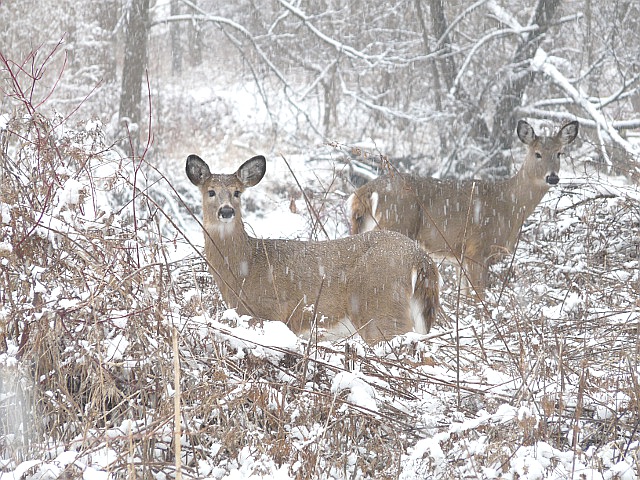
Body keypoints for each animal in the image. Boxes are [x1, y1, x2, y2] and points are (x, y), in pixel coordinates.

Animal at [186, 154, 440, 345]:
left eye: (237, 192)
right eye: (210, 192)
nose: (226, 211)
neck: (246, 266)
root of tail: (420, 260)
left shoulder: (269, 313)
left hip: (381, 307)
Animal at [348, 120, 579, 300]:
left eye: (559, 153)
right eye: (537, 154)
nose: (553, 177)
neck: (508, 205)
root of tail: (364, 192)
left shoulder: (461, 256)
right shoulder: (477, 249)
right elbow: (479, 296)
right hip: (396, 224)